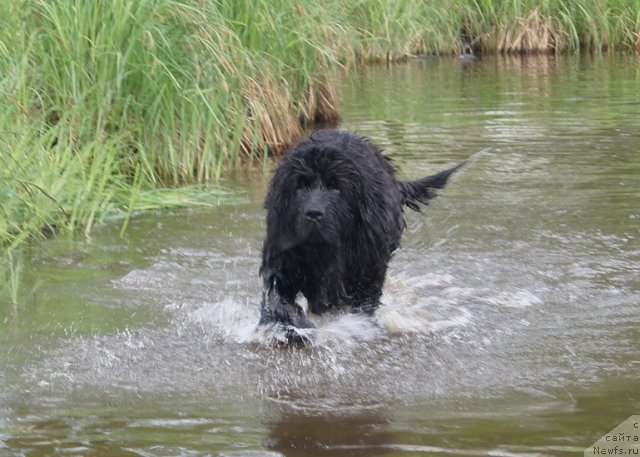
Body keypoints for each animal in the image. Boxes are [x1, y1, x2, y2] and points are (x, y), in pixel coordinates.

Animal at [258, 130, 462, 340]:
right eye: (299, 186)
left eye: (336, 186)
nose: (313, 213)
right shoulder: (283, 257)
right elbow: (277, 295)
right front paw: (292, 326)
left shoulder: (365, 270)